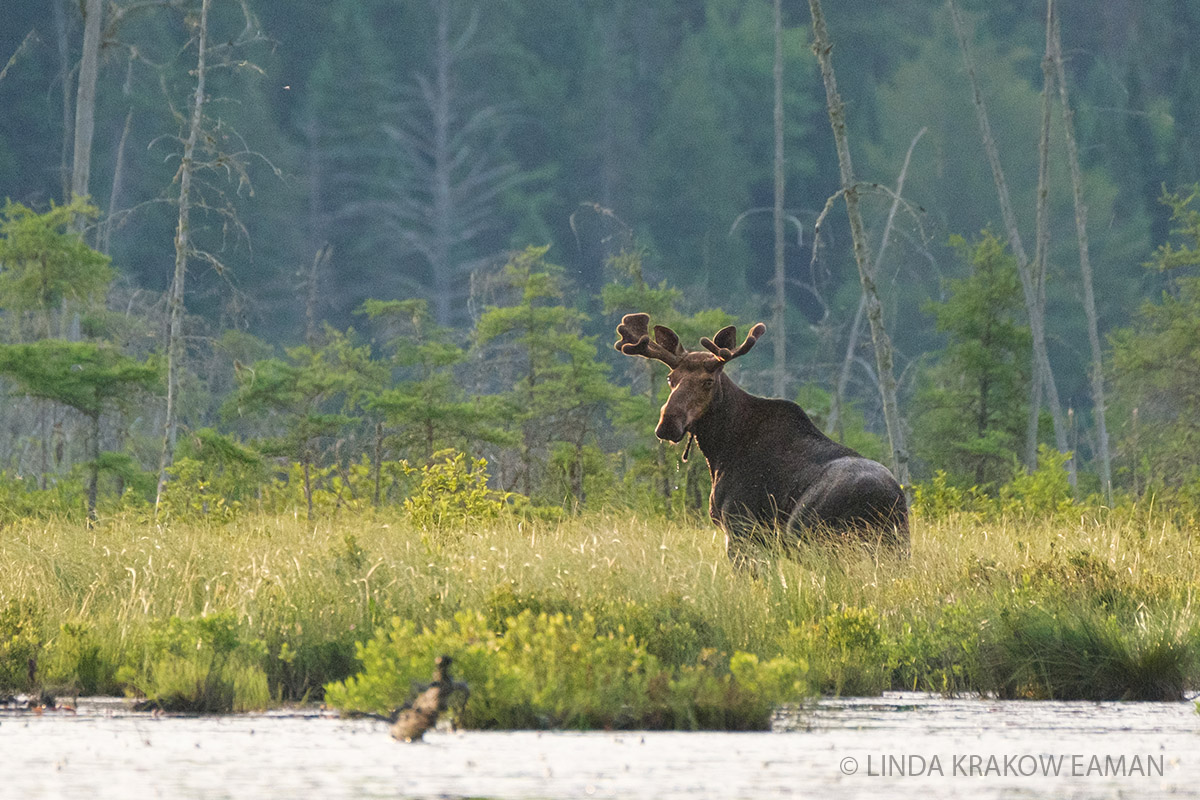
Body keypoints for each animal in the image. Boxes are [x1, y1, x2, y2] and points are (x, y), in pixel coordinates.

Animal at [619, 311, 907, 556]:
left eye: (708, 381)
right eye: (671, 379)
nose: (668, 423)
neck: (719, 450)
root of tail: (885, 500)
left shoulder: (741, 528)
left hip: (809, 534)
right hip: (897, 547)